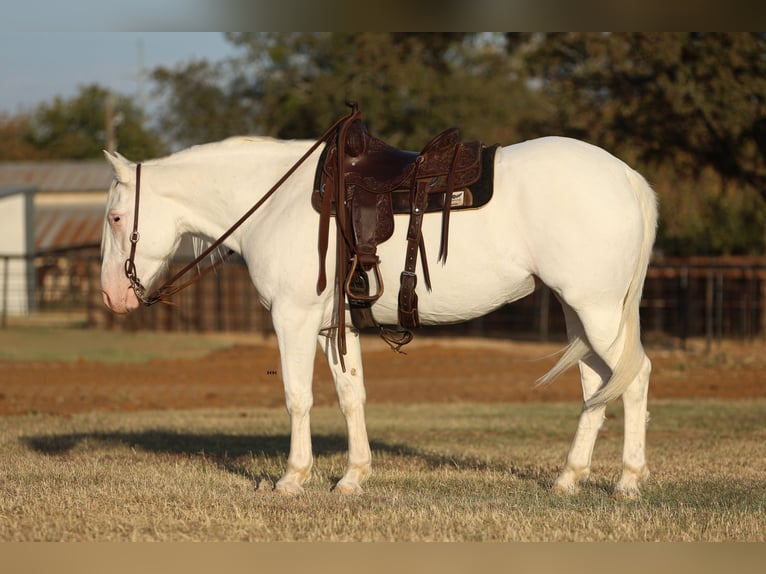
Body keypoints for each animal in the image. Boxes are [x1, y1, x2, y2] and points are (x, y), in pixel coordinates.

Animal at [100, 134, 660, 500]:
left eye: (115, 217)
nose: (111, 295)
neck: (277, 203)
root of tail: (627, 177)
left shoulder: (293, 319)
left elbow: (297, 398)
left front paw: (292, 478)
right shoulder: (334, 327)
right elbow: (352, 396)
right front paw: (353, 477)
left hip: (597, 311)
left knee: (634, 379)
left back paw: (628, 481)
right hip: (580, 314)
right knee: (596, 388)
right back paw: (569, 478)